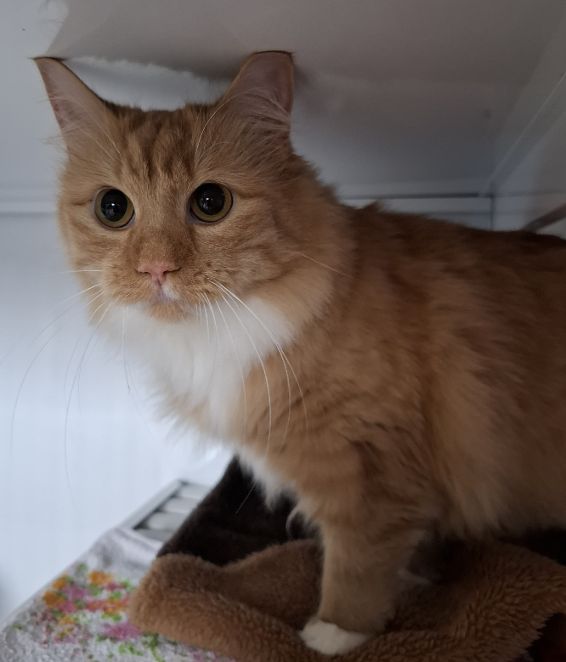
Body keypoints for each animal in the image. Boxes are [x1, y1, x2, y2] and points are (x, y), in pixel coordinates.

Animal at [36, 51, 566, 656]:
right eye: (112, 208)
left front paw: (333, 635)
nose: (156, 269)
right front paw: (417, 579)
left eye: (211, 203)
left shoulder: (373, 475)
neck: (215, 334)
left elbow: (356, 567)